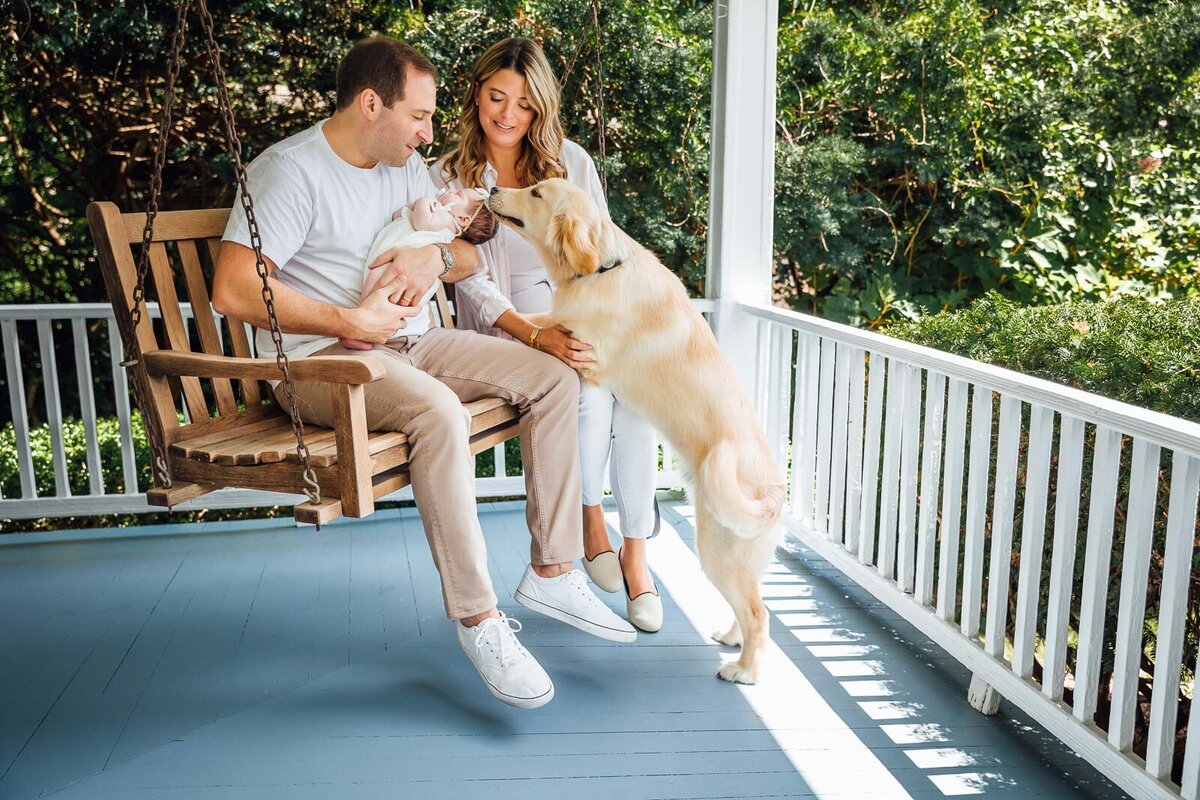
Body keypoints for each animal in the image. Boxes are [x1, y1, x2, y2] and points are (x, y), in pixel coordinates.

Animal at [487, 179, 787, 681]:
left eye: (536, 192)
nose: (491, 187)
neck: (599, 270)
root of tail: (773, 495)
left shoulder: (586, 354)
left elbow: (536, 323)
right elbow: (529, 320)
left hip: (719, 550)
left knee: (758, 614)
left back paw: (743, 670)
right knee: (752, 606)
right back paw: (731, 638)